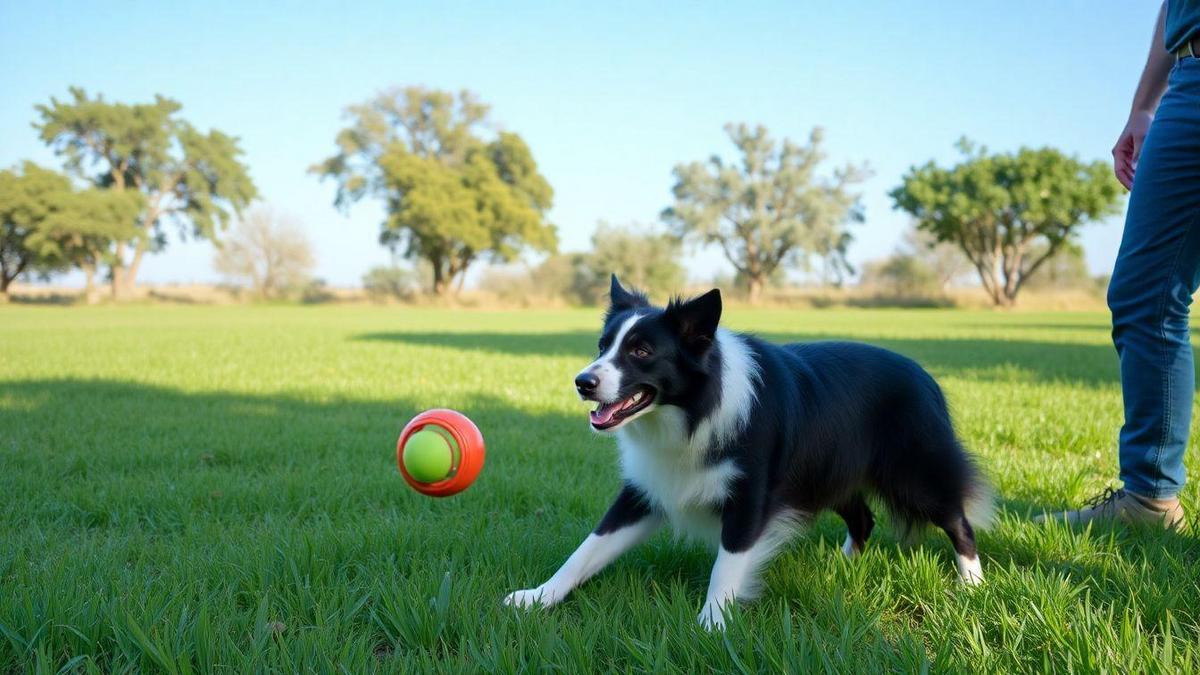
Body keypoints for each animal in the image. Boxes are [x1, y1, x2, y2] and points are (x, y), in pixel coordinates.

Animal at [501, 276, 988, 629]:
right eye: (603, 347)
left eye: (641, 351)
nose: (582, 382)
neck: (693, 410)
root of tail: (924, 375)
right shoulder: (646, 489)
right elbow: (588, 548)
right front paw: (537, 597)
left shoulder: (751, 493)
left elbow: (728, 563)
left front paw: (711, 625)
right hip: (827, 473)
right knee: (863, 518)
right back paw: (843, 566)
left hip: (916, 472)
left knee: (956, 518)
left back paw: (972, 585)